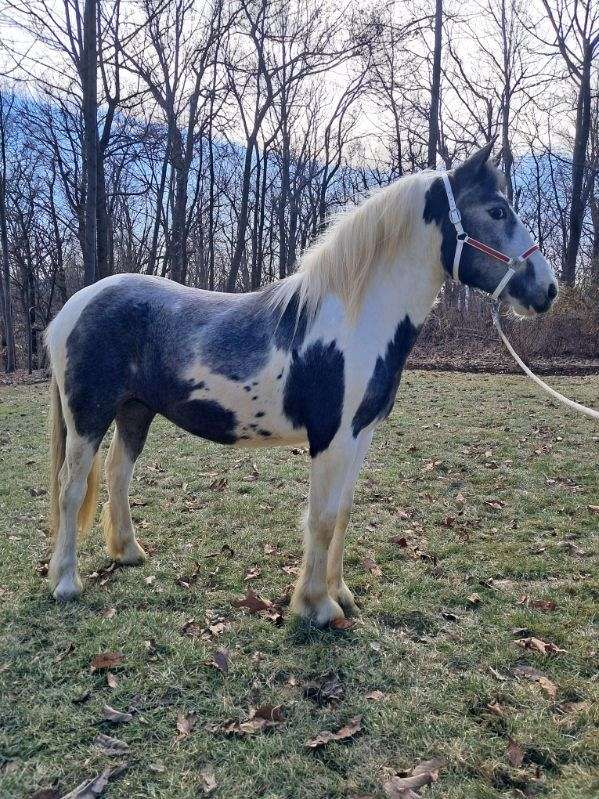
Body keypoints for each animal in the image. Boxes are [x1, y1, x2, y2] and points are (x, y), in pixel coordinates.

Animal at [45, 145, 556, 632]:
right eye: (496, 211)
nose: (548, 290)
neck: (354, 319)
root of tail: (73, 307)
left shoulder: (360, 434)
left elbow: (343, 513)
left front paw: (341, 594)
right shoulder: (331, 436)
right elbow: (322, 519)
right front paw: (317, 606)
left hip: (135, 410)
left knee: (118, 473)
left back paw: (129, 552)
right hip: (89, 416)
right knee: (71, 488)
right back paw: (66, 582)